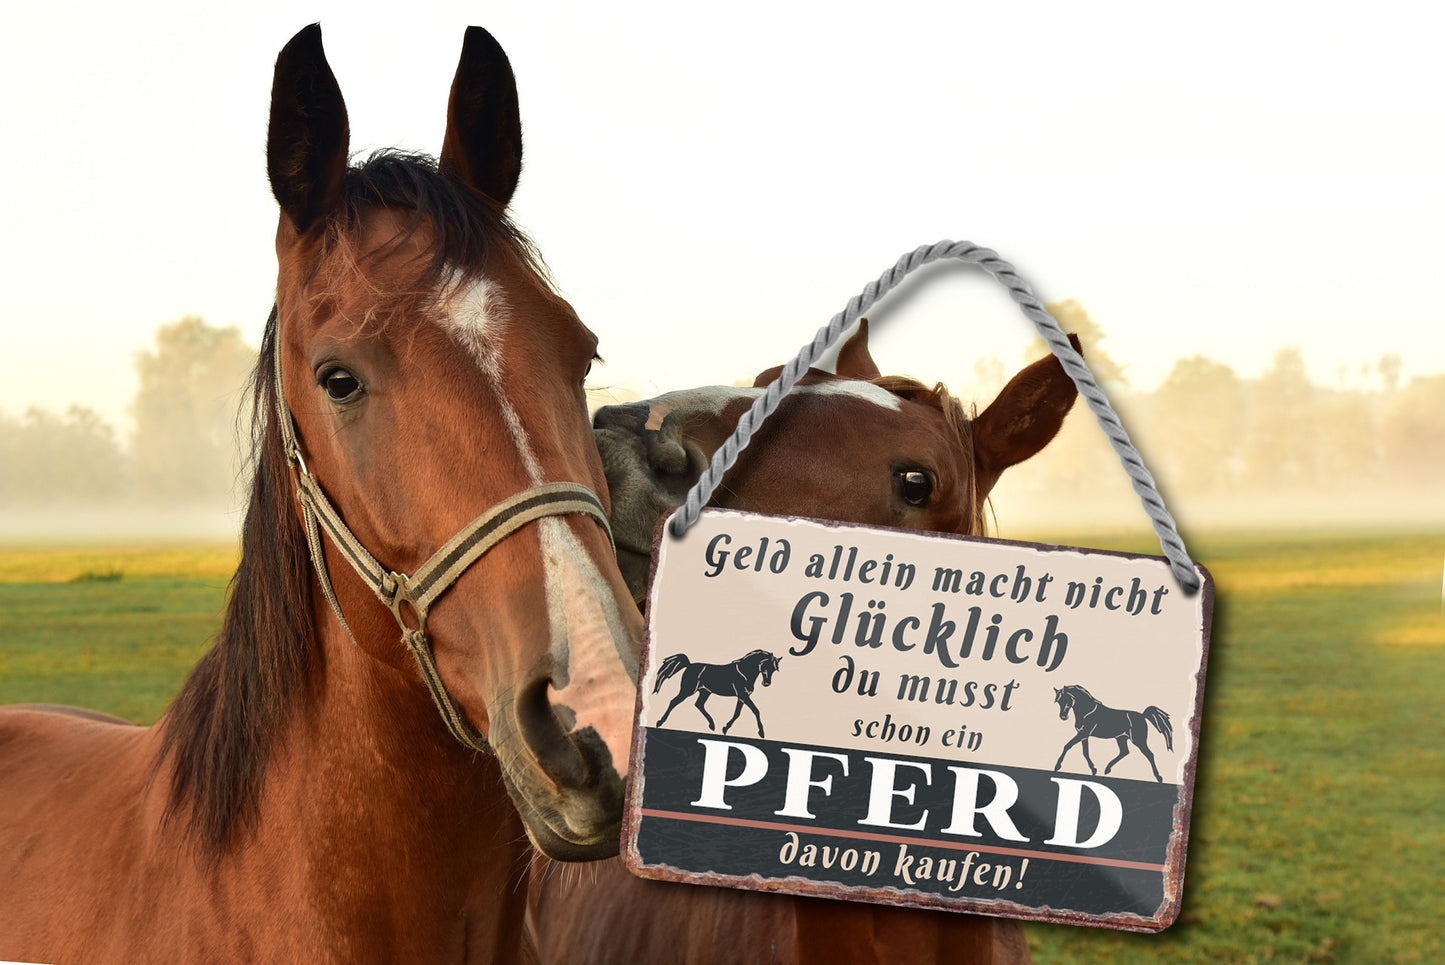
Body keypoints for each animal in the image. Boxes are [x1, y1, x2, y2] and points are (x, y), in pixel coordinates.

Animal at [653, 649, 782, 739]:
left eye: (774, 669)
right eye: (765, 665)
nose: (766, 683)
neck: (744, 672)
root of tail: (689, 665)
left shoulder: (742, 697)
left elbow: (737, 713)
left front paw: (725, 728)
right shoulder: (743, 695)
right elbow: (756, 710)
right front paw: (761, 733)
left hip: (705, 692)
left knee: (699, 704)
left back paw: (712, 725)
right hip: (688, 690)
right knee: (674, 702)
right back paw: (660, 722)